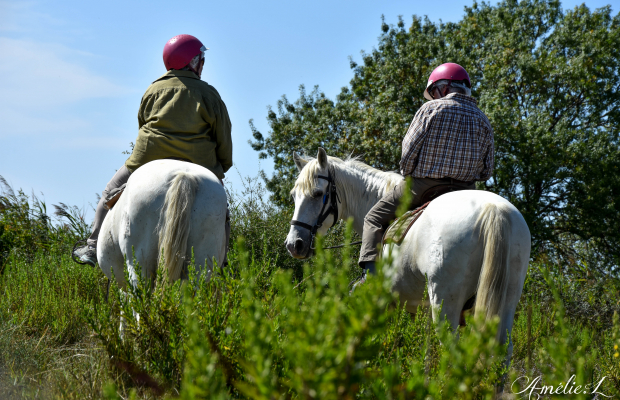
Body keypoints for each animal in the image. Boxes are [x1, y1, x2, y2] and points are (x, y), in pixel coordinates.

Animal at [286, 148, 532, 368]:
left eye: (318, 194)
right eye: (294, 196)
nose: (294, 244)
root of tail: (493, 209)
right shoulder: (423, 309)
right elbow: (426, 354)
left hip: (445, 303)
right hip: (505, 301)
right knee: (503, 351)